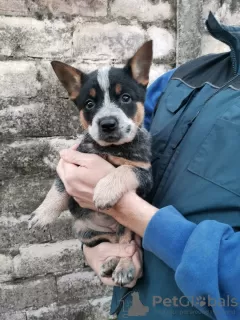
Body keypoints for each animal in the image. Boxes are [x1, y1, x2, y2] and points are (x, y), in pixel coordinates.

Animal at [28, 41, 152, 286]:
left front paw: (105, 190)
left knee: (129, 244)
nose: (107, 123)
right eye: (89, 104)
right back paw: (110, 262)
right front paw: (42, 214)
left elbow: (125, 169)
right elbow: (58, 188)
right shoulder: (72, 161)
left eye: (125, 98)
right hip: (83, 230)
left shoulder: (145, 174)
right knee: (112, 242)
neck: (110, 149)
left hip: (133, 229)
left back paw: (124, 267)